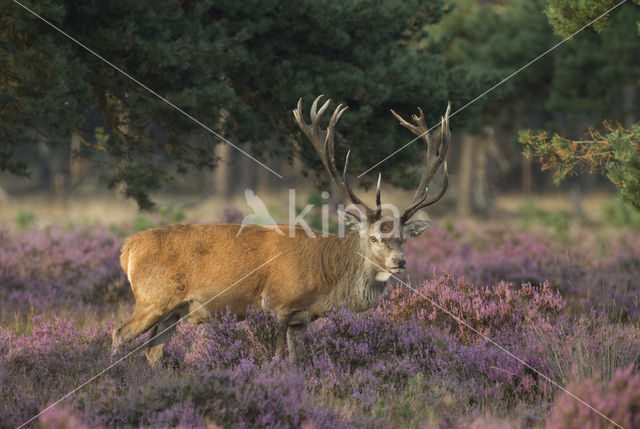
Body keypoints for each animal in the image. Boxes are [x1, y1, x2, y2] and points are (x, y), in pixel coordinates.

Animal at [111, 96, 450, 364]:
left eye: (404, 239)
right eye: (375, 237)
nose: (399, 262)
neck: (324, 280)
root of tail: (128, 248)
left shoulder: (302, 319)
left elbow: (297, 361)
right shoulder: (278, 305)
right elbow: (275, 358)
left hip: (174, 310)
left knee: (153, 351)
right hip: (152, 298)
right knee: (118, 333)